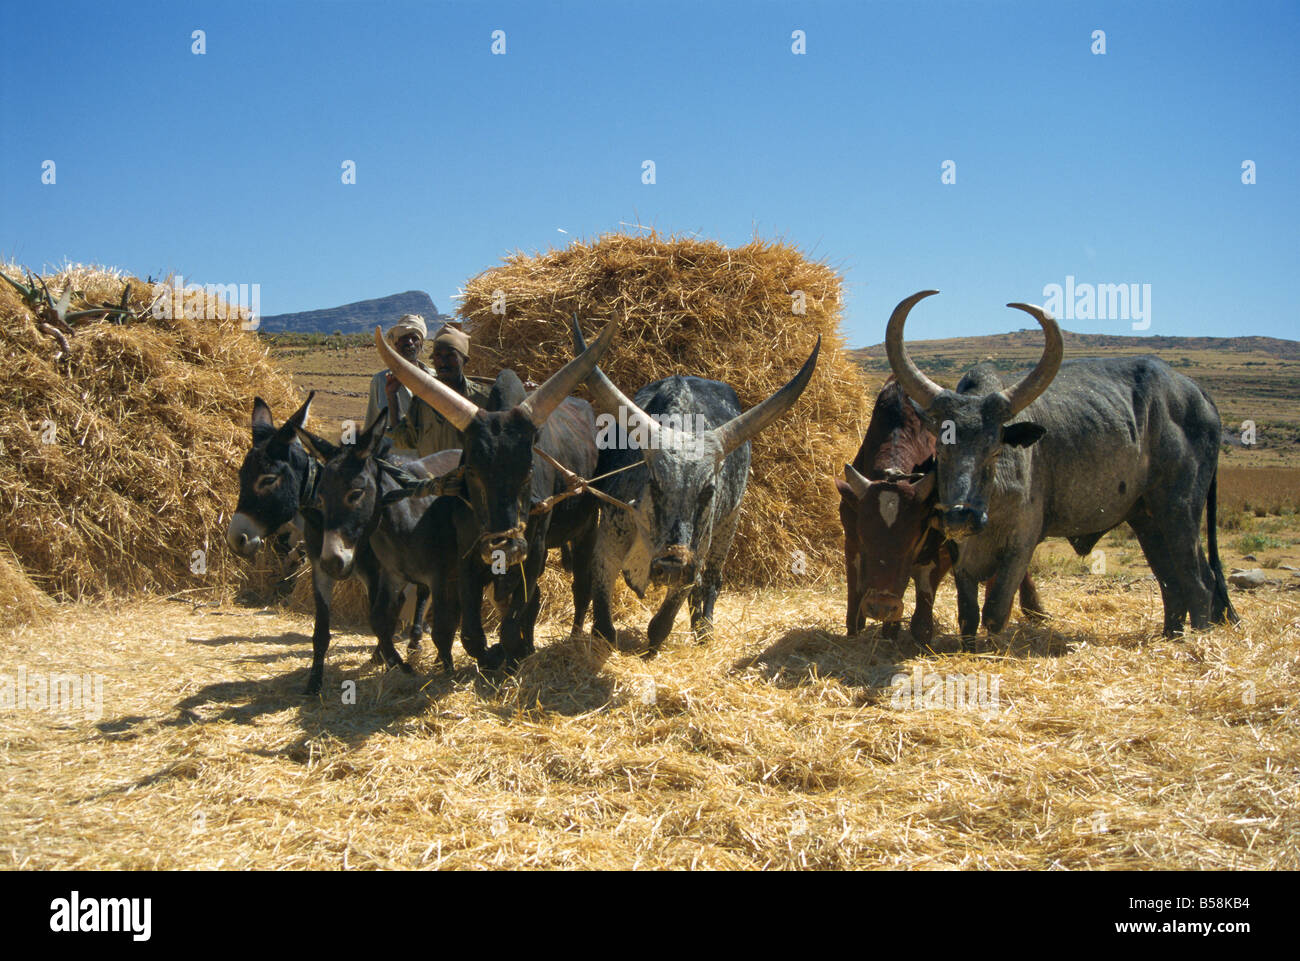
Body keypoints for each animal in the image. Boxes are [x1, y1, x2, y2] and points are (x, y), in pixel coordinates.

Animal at [572, 319, 816, 658]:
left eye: (708, 490)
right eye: (654, 483)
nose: (672, 566)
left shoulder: (696, 554)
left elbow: (661, 624)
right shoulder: (608, 539)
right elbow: (603, 622)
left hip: (727, 526)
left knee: (711, 581)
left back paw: (704, 630)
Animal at [837, 379, 1050, 642]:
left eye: (912, 539)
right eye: (865, 536)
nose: (881, 606)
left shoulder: (939, 552)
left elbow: (922, 618)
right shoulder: (851, 545)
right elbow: (854, 610)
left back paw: (1033, 608)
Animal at [883, 289, 1237, 642]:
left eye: (995, 450)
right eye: (940, 449)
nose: (960, 516)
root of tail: (1199, 394)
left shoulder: (1021, 544)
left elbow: (995, 609)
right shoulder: (962, 552)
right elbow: (968, 614)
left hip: (1180, 510)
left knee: (1199, 582)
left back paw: (1196, 641)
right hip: (1147, 518)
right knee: (1172, 582)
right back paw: (1170, 636)